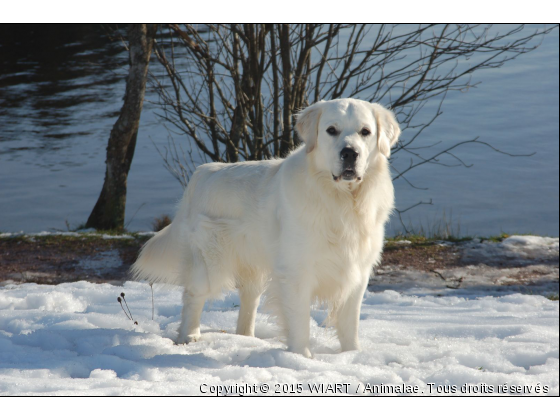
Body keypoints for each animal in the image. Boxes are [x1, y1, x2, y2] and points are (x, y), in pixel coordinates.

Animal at [132, 98, 398, 358]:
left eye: (365, 132)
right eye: (331, 130)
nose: (350, 153)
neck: (342, 200)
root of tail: (202, 173)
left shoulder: (357, 271)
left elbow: (349, 323)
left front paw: (352, 356)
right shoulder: (297, 271)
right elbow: (299, 321)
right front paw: (301, 358)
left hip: (254, 265)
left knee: (249, 299)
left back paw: (246, 338)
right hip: (211, 262)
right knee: (193, 295)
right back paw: (189, 336)